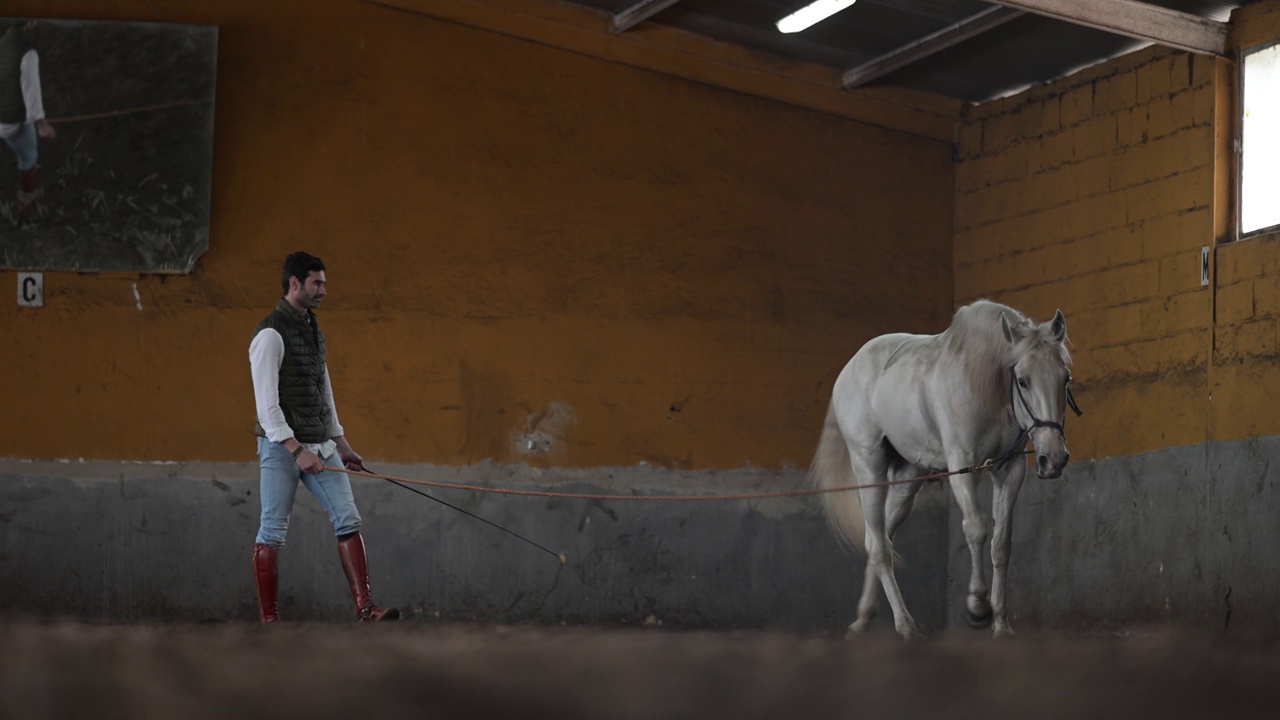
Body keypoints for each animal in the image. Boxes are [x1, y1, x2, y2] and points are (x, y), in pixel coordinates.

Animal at [814, 299, 1075, 635]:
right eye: (1022, 380)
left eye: (1065, 378)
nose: (1053, 459)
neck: (982, 385)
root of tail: (848, 369)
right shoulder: (962, 466)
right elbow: (976, 529)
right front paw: (978, 606)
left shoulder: (1010, 470)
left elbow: (1001, 543)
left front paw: (1002, 624)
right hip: (868, 468)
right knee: (878, 546)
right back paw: (906, 625)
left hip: (908, 480)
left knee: (880, 537)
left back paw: (865, 616)